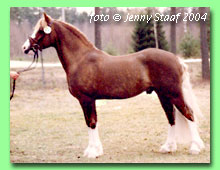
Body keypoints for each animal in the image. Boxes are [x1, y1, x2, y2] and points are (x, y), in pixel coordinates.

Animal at [21, 12, 205, 158]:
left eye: (41, 30)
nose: (24, 47)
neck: (80, 59)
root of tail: (177, 59)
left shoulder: (86, 99)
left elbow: (91, 123)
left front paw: (92, 152)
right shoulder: (90, 100)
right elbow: (92, 122)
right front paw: (96, 150)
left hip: (174, 94)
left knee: (189, 114)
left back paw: (195, 148)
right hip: (163, 95)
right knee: (171, 118)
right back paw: (168, 147)